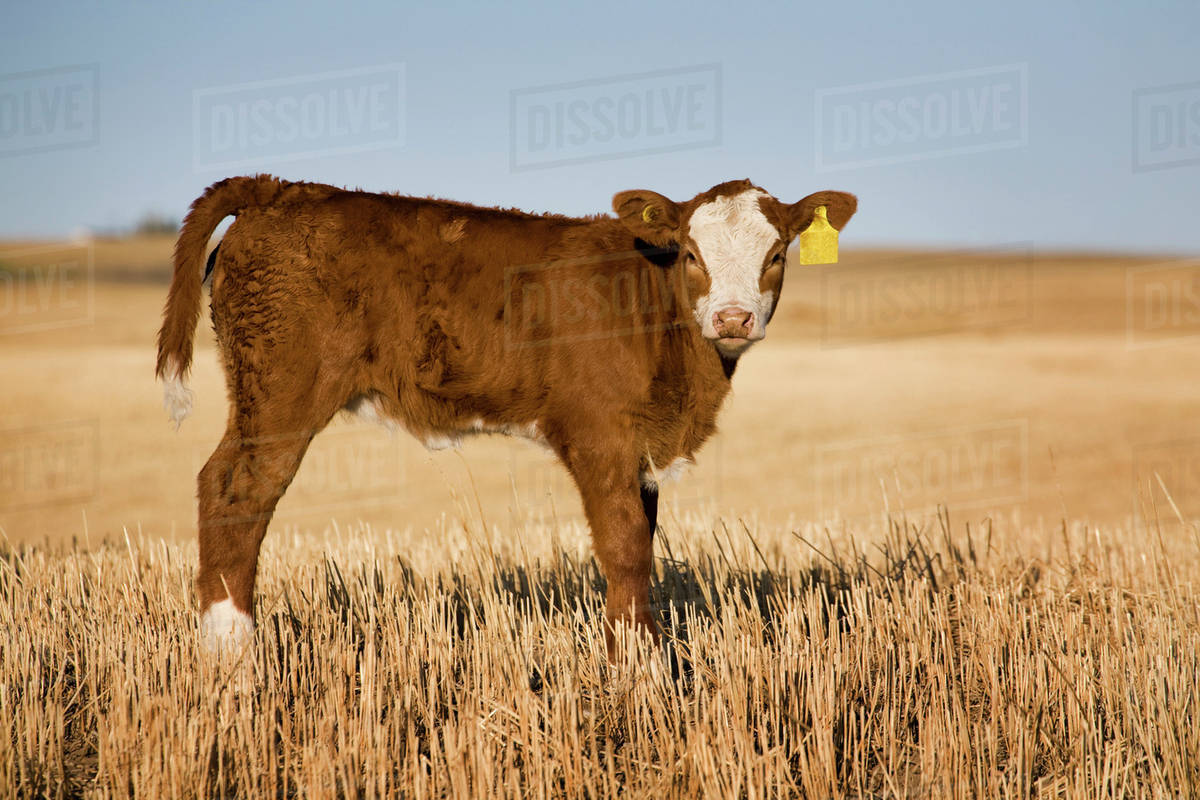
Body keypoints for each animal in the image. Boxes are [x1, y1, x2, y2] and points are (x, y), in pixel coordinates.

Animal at [156, 175, 857, 660]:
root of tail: (279, 189)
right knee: (236, 490)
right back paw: (231, 653)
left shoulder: (641, 450)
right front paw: (637, 669)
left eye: (778, 253)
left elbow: (644, 542)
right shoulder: (598, 432)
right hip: (281, 392)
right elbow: (625, 545)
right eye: (689, 253)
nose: (733, 318)